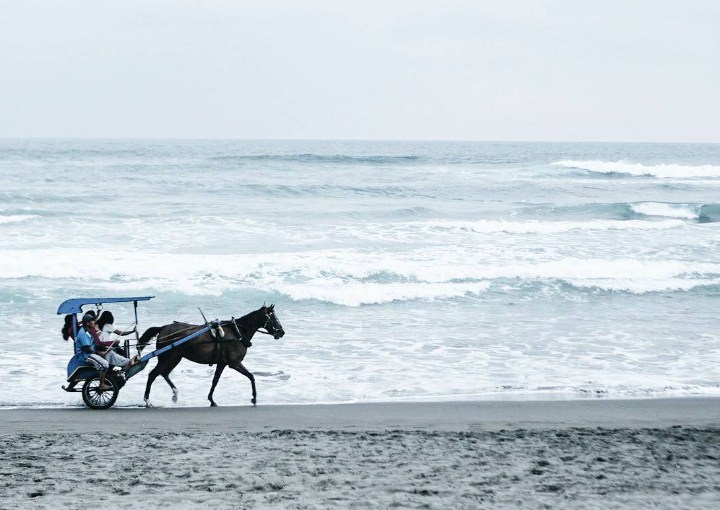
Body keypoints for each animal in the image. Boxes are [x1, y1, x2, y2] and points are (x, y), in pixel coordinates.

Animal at [135, 304, 284, 408]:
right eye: (273, 318)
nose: (282, 332)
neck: (237, 332)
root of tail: (163, 328)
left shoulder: (222, 363)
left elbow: (215, 380)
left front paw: (211, 399)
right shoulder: (234, 363)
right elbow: (251, 376)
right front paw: (254, 398)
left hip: (175, 358)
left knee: (164, 373)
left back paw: (175, 393)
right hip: (167, 357)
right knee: (153, 374)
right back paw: (147, 400)